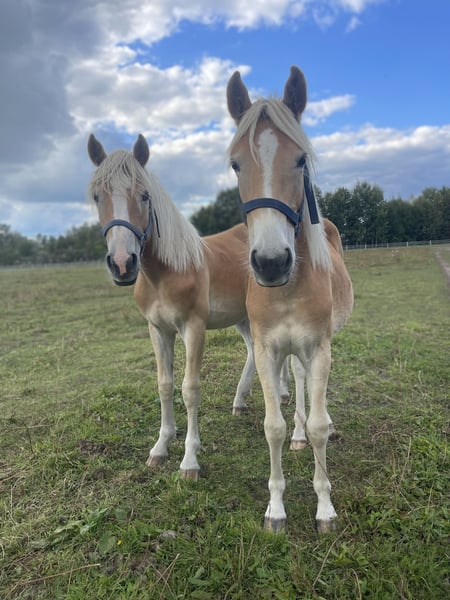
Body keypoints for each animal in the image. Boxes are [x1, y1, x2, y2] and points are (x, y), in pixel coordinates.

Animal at [227, 66, 354, 533]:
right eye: (235, 164)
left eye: (299, 160)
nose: (270, 262)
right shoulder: (267, 351)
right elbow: (274, 427)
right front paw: (276, 508)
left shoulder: (319, 348)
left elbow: (316, 427)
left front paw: (325, 508)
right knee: (294, 384)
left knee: (309, 393)